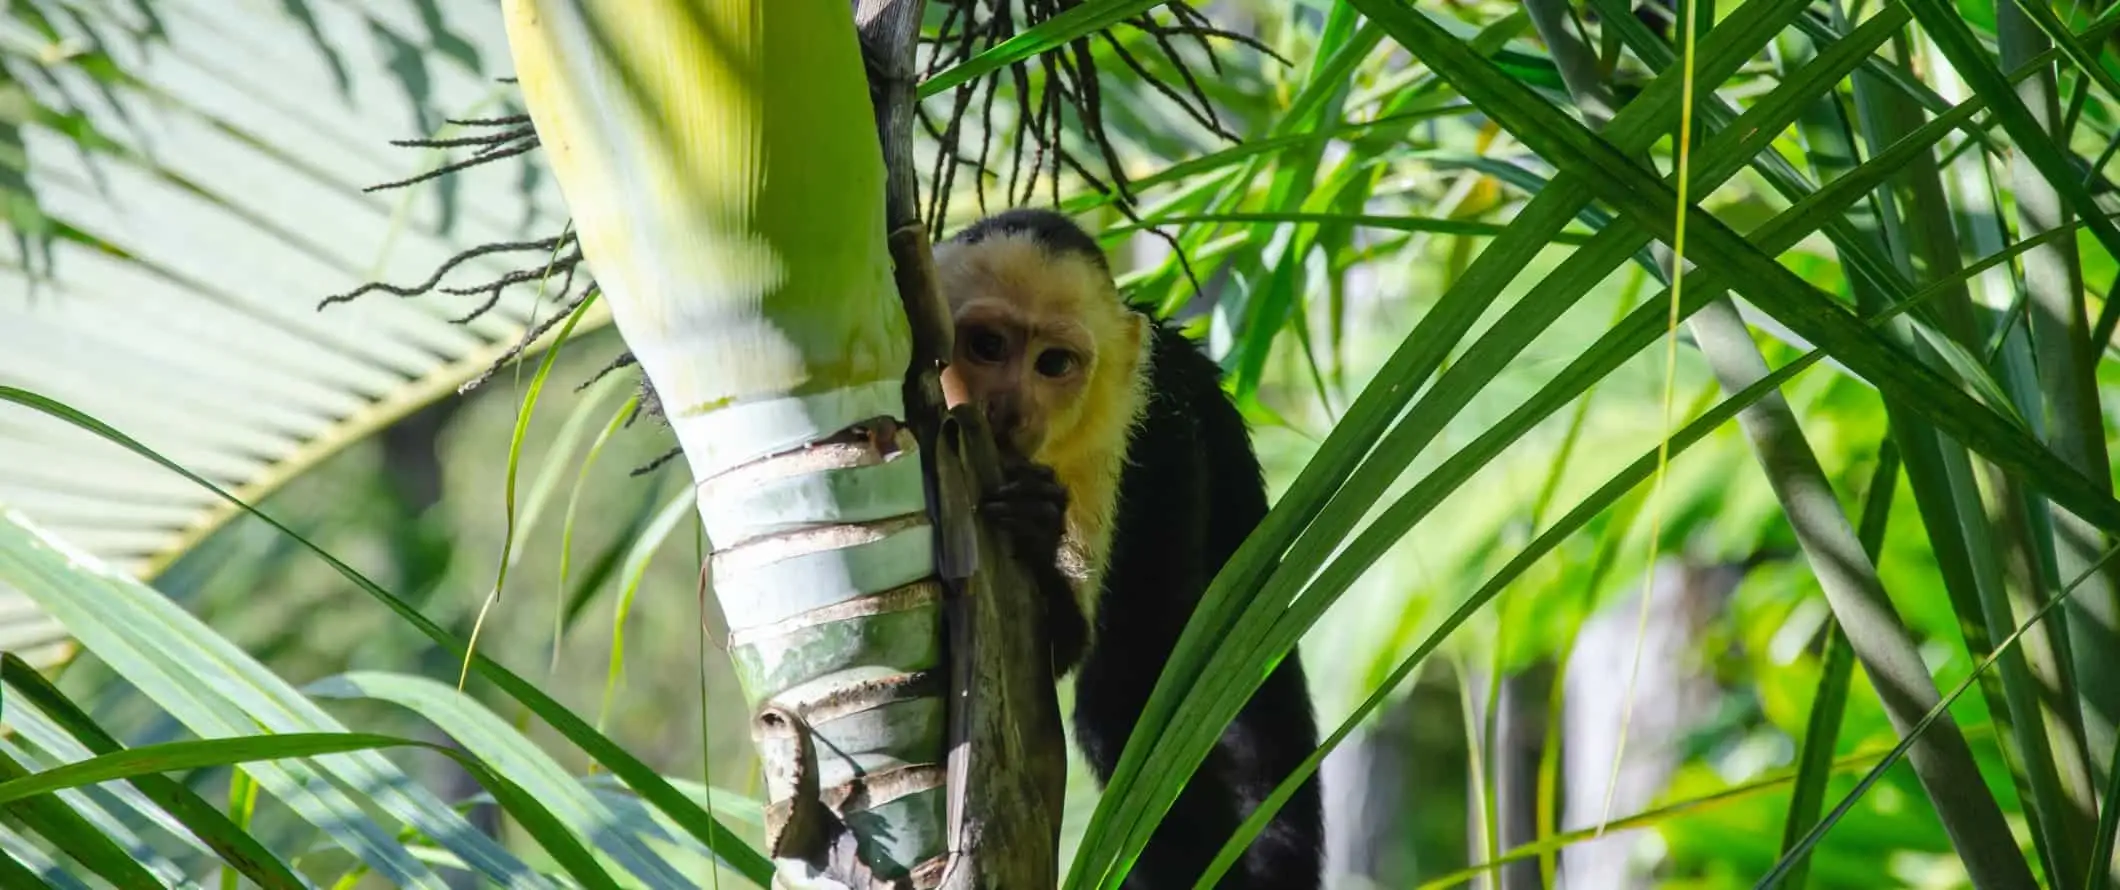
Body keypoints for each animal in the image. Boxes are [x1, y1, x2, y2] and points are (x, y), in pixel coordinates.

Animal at [937, 206, 1314, 890]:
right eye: (987, 346)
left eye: (1054, 363)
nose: (1012, 408)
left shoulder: (1148, 421)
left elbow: (1086, 654)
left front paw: (1038, 531)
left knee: (1129, 688)